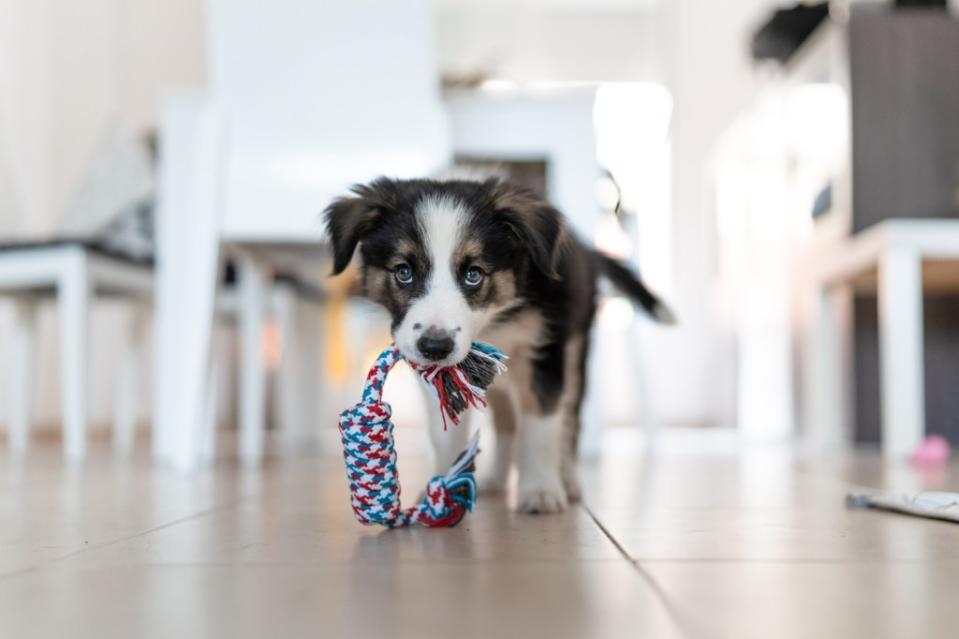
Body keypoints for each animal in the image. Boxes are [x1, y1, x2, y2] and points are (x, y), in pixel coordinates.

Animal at [326, 176, 672, 516]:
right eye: (403, 272)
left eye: (473, 274)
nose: (435, 346)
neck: (494, 323)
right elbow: (445, 433)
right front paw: (442, 487)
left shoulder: (545, 351)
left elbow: (541, 426)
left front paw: (540, 490)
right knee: (506, 423)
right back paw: (496, 478)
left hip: (576, 352)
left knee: (570, 419)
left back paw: (569, 481)